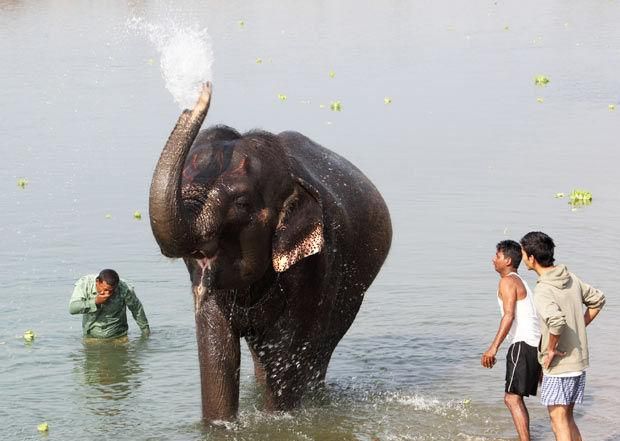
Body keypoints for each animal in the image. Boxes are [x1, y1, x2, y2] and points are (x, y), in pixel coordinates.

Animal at [149, 82, 392, 420]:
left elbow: (284, 355)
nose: (204, 87)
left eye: (241, 203)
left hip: (354, 288)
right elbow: (217, 352)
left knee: (320, 350)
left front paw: (277, 420)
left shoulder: (315, 269)